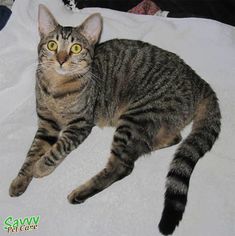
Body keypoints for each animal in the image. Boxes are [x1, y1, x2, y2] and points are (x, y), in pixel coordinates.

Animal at [9, 4, 221, 235]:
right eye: (52, 45)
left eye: (76, 48)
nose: (61, 59)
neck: (56, 88)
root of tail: (197, 79)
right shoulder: (46, 124)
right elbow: (32, 153)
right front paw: (20, 180)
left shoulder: (80, 125)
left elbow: (58, 148)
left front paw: (42, 166)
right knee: (170, 139)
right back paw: (148, 146)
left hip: (135, 116)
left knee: (122, 166)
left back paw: (81, 192)